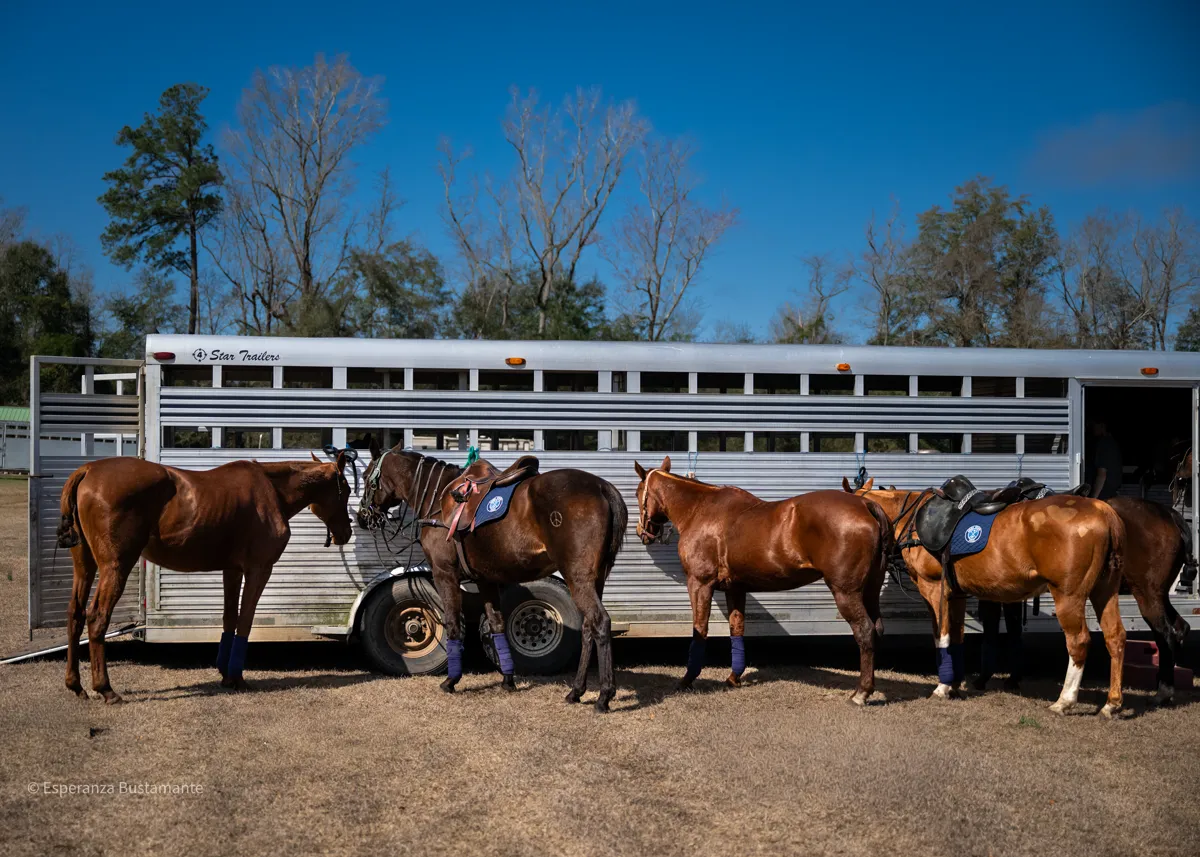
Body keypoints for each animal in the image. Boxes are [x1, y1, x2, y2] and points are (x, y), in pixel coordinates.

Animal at [56, 454, 354, 703]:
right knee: (97, 617)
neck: (271, 490)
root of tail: (88, 469)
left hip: (84, 565)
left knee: (75, 614)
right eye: (347, 490)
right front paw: (237, 677)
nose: (347, 532)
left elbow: (229, 618)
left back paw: (75, 684)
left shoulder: (232, 570)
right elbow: (245, 621)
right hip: (115, 566)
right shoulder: (259, 569)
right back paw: (105, 688)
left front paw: (225, 673)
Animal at [356, 441, 628, 712]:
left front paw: (451, 680)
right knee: (588, 627)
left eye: (366, 475)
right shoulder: (485, 579)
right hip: (595, 579)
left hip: (578, 577)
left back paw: (604, 695)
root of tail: (602, 488)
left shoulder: (445, 573)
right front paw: (508, 679)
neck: (439, 498)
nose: (362, 517)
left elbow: (453, 624)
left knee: (600, 622)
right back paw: (576, 691)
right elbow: (496, 623)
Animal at [633, 456, 892, 705]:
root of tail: (864, 505)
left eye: (637, 493)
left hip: (845, 592)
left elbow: (700, 629)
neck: (700, 510)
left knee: (865, 631)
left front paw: (687, 679)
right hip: (871, 590)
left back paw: (861, 693)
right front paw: (734, 677)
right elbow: (736, 627)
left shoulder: (699, 583)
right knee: (877, 629)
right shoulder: (735, 588)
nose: (642, 532)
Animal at [847, 479, 1127, 717]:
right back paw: (1111, 703)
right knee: (1115, 637)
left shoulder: (934, 589)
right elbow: (957, 636)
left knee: (1078, 641)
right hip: (1105, 589)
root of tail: (1104, 511)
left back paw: (1065, 701)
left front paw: (942, 687)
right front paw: (954, 684)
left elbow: (942, 636)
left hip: (1068, 594)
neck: (912, 519)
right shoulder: (956, 595)